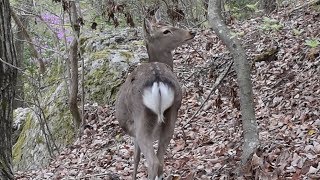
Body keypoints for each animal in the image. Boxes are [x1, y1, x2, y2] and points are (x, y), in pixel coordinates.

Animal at [115, 10, 195, 179]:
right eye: (166, 30)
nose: (191, 32)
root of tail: (157, 80)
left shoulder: (134, 133)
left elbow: (136, 158)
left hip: (142, 121)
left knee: (153, 162)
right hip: (171, 117)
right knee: (161, 161)